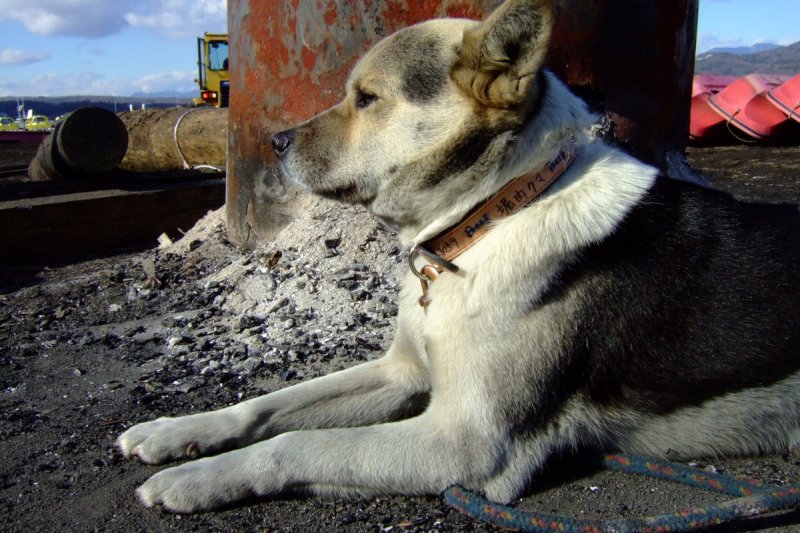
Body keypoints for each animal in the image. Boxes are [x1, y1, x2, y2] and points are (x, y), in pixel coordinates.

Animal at [117, 1, 800, 516]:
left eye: (368, 98)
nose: (275, 141)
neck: (494, 212)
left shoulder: (466, 443)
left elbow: (295, 444)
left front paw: (196, 480)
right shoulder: (402, 374)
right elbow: (266, 407)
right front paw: (176, 433)